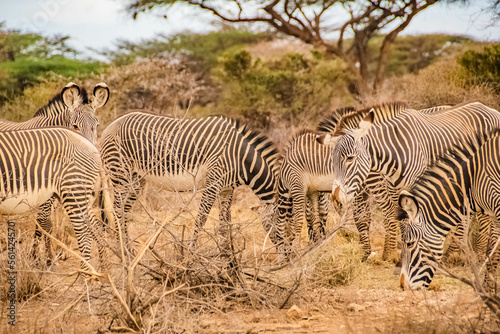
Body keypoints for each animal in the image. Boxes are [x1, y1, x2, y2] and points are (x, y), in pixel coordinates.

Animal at [0, 83, 110, 264]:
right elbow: (44, 222)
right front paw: (42, 258)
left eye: (97, 126)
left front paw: (41, 257)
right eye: (75, 126)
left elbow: (43, 222)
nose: (93, 154)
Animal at [97, 112, 282, 253]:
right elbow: (201, 218)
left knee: (124, 210)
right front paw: (191, 253)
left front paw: (226, 254)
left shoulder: (227, 189)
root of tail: (109, 126)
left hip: (136, 179)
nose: (287, 257)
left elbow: (225, 221)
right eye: (283, 223)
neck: (240, 159)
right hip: (121, 173)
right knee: (117, 209)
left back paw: (128, 249)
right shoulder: (213, 183)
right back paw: (123, 250)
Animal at [318, 102, 498, 260]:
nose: (336, 198)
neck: (392, 155)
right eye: (332, 161)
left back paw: (481, 255)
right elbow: (396, 220)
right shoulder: (390, 189)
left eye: (350, 158)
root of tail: (490, 109)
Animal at [400, 132, 500, 290]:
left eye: (409, 244)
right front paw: (488, 289)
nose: (403, 286)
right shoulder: (494, 214)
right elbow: (493, 252)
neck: (472, 183)